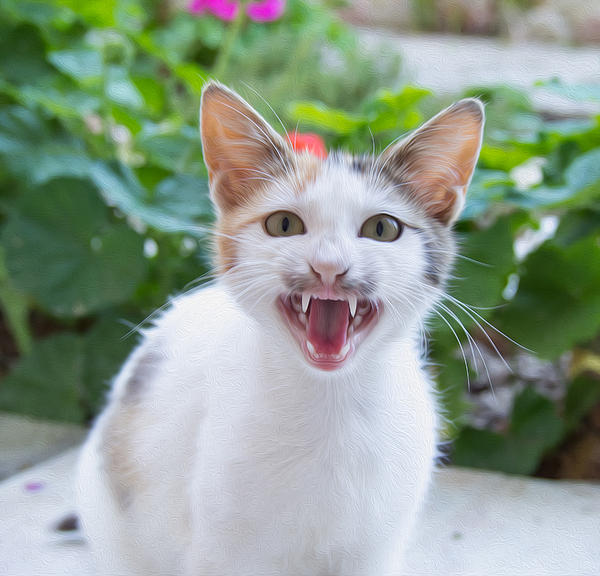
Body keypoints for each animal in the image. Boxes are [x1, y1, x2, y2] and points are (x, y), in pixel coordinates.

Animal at [77, 82, 486, 576]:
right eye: (284, 224)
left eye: (382, 229)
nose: (328, 266)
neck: (330, 405)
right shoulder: (222, 549)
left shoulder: (375, 548)